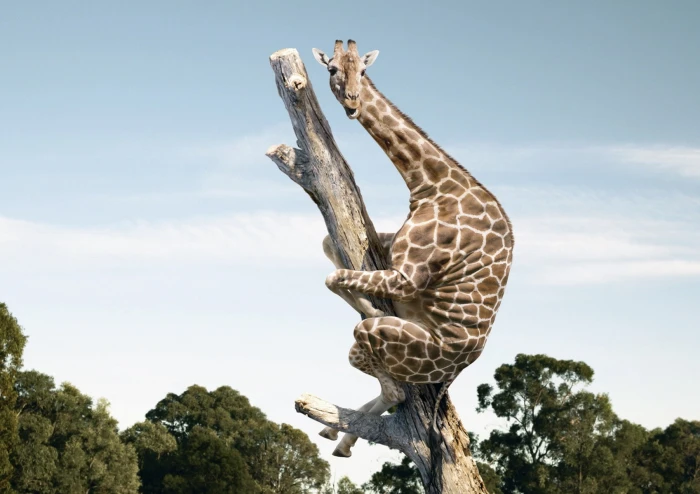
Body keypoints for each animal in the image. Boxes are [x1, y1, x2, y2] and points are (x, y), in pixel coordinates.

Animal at [312, 40, 514, 458]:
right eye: (332, 69)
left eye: (363, 71)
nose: (353, 103)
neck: (431, 184)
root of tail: (456, 370)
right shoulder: (390, 252)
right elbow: (328, 248)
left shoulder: (407, 277)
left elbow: (334, 276)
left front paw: (371, 305)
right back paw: (336, 437)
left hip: (383, 342)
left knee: (393, 389)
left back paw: (341, 436)